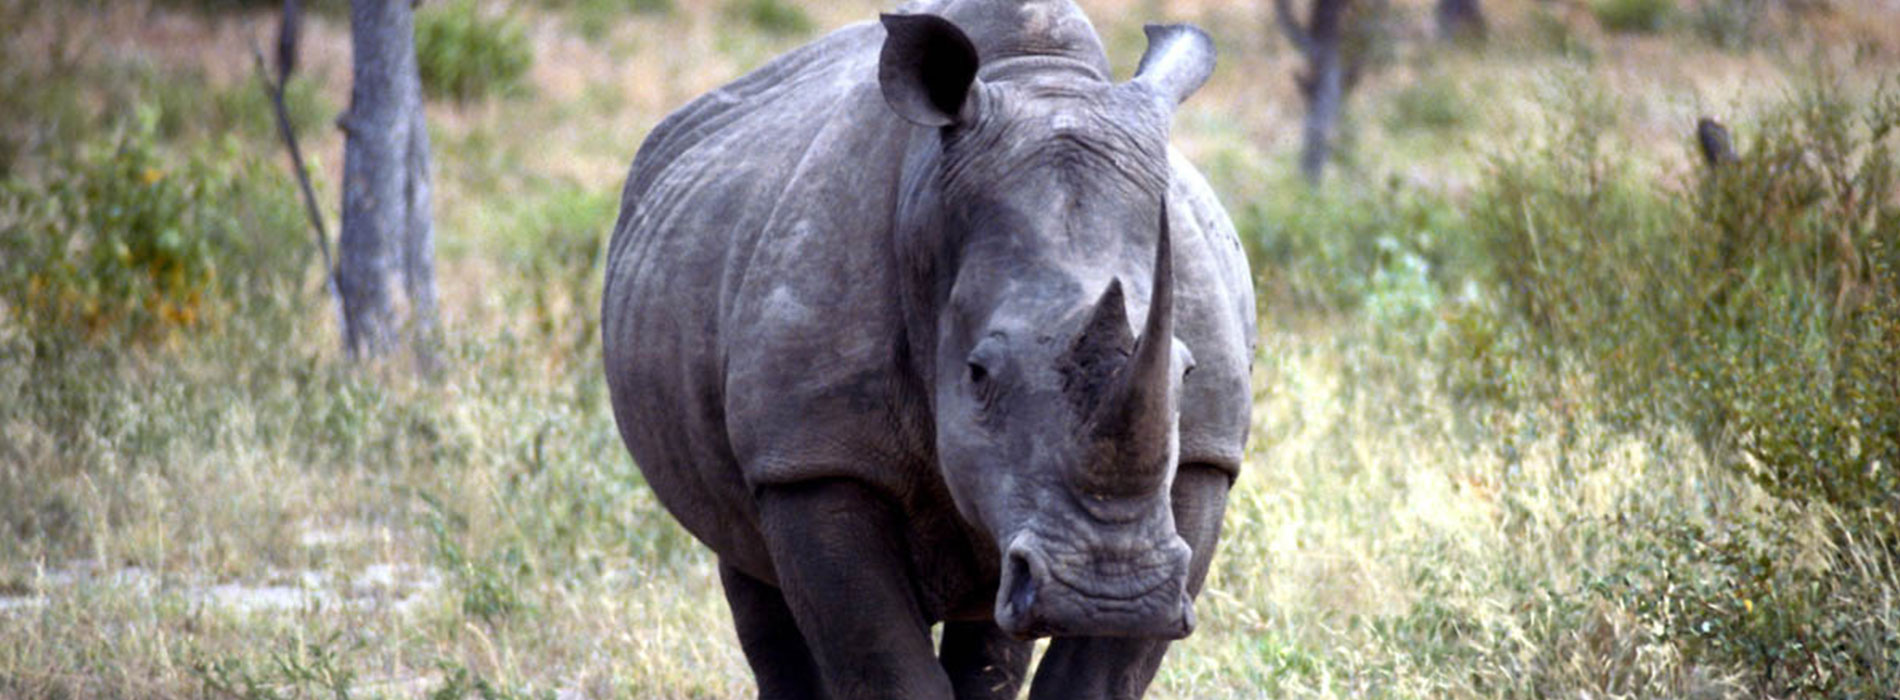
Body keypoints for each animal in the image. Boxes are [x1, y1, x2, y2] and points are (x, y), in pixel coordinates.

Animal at [600, 1, 1255, 697]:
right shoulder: (810, 457)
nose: (1110, 591)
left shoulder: (1204, 458)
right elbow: (887, 669)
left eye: (1186, 372)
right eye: (978, 374)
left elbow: (1096, 678)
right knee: (749, 572)